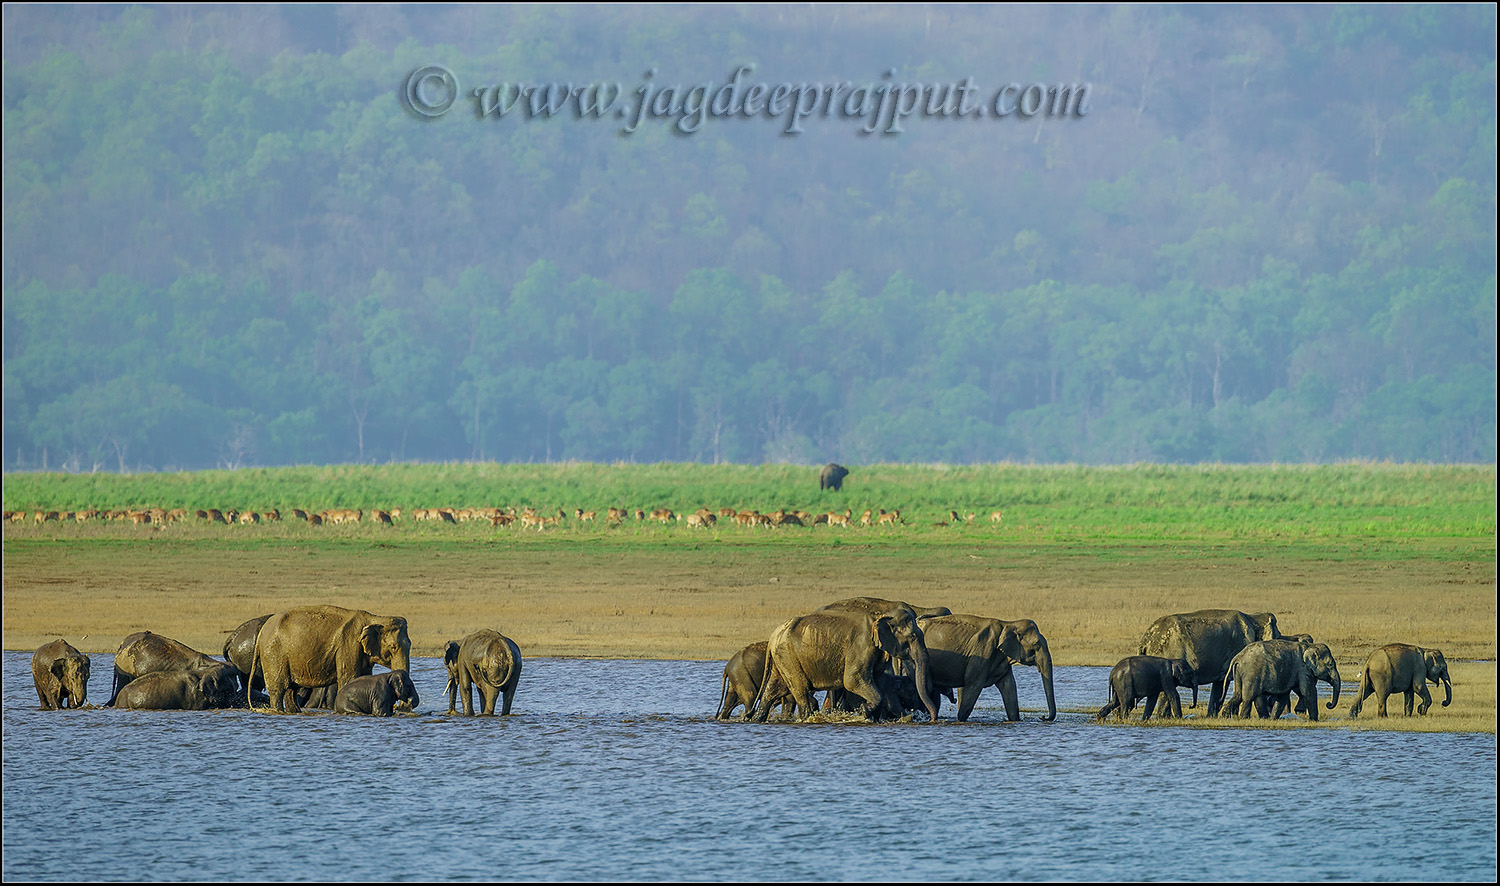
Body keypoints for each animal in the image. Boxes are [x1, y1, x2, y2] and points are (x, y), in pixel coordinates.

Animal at [250, 605, 411, 713]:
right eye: (393, 647)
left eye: (410, 644)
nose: (401, 706)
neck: (374, 618)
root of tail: (263, 630)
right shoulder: (348, 645)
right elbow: (349, 678)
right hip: (273, 654)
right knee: (279, 688)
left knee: (291, 690)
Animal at [749, 607, 938, 723]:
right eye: (912, 637)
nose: (931, 719)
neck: (881, 615)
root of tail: (773, 636)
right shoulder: (861, 645)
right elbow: (852, 680)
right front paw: (863, 710)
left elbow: (877, 680)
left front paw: (870, 715)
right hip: (788, 656)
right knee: (799, 688)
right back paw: (807, 718)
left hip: (782, 657)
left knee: (775, 688)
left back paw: (755, 719)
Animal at [917, 613, 1058, 722]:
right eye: (1037, 644)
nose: (1043, 717)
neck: (1008, 624)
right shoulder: (983, 650)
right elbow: (973, 686)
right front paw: (960, 720)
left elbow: (1009, 686)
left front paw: (1015, 720)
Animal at [1139, 609, 1283, 716]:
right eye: (1277, 634)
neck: (1254, 617)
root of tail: (1146, 639)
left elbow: (1219, 685)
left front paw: (1213, 716)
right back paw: (1162, 717)